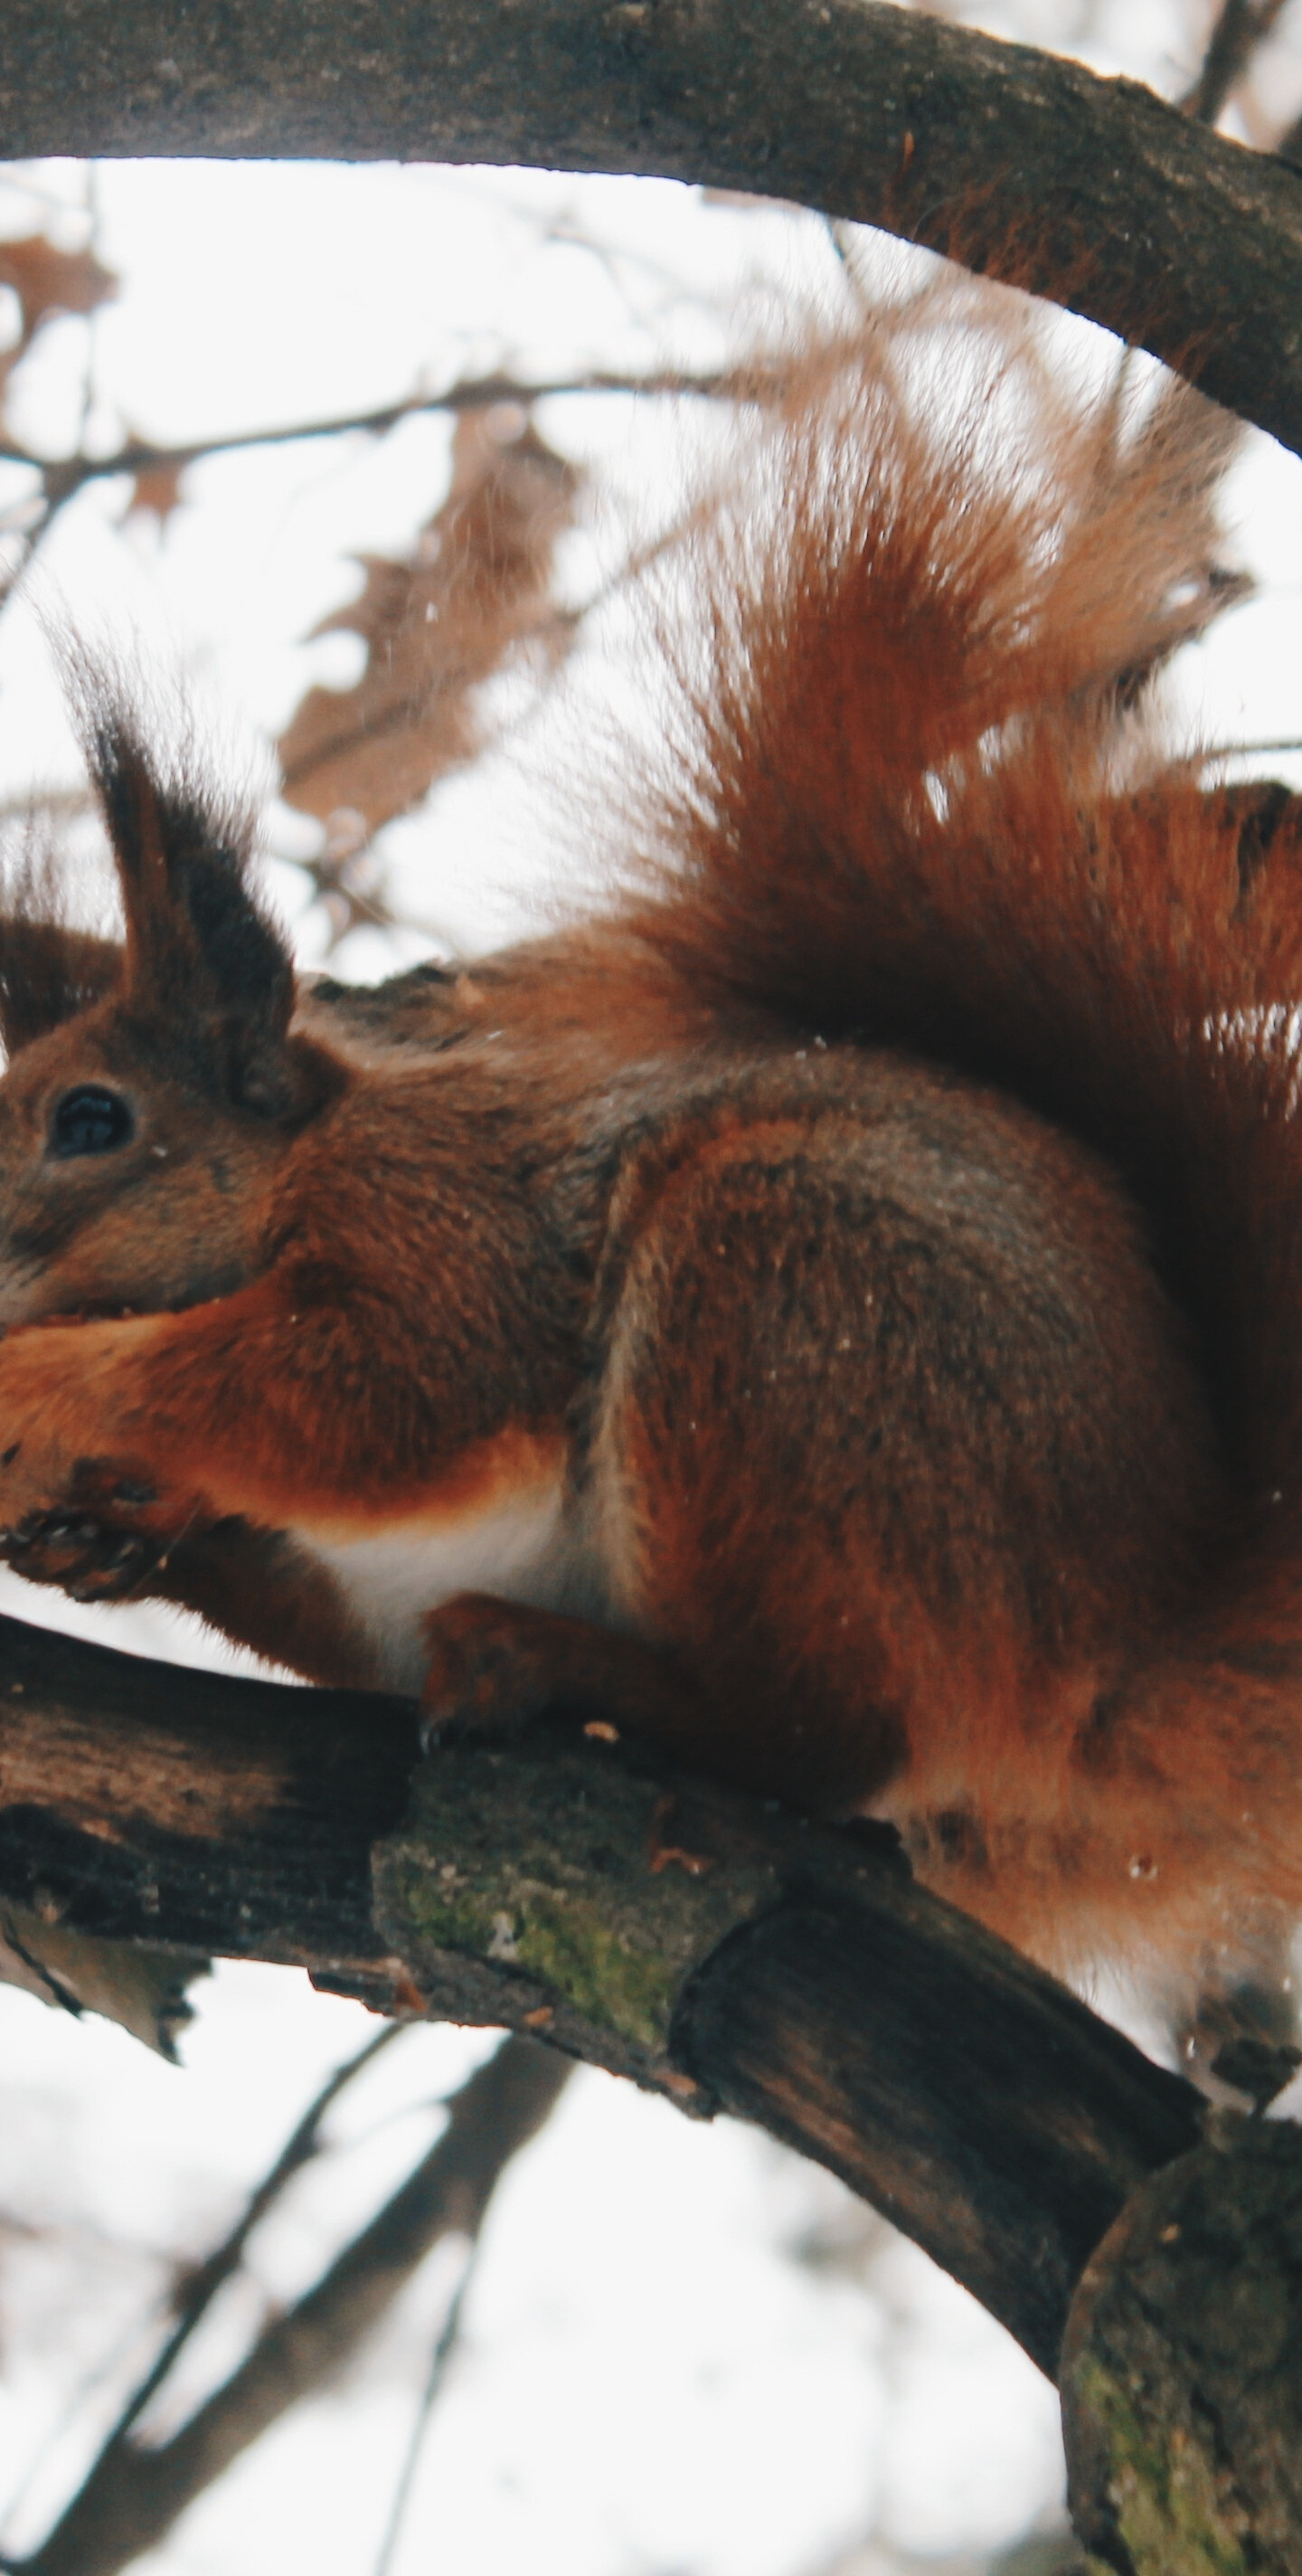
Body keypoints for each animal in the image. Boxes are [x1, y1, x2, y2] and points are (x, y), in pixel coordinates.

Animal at [0, 296, 1291, 2030]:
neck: (295, 1169)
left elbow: (375, 1385)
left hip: (788, 1305)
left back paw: (575, 1670)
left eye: (89, 1121)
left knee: (822, 1738)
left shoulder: (441, 1219)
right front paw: (118, 1524)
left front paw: (47, 1390)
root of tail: (1126, 1643)